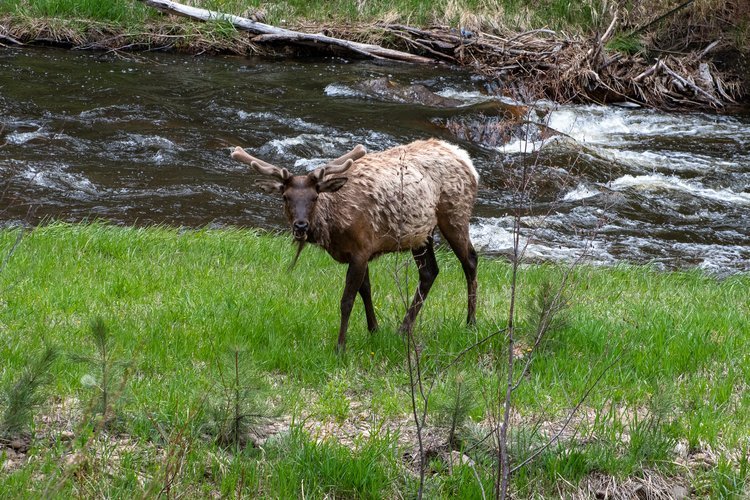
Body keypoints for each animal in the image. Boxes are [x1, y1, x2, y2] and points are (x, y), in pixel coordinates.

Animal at [231, 139, 479, 352]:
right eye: (285, 197)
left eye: (314, 197)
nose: (300, 225)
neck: (334, 226)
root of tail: (467, 160)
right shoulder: (361, 250)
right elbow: (365, 290)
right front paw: (374, 329)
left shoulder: (361, 249)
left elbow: (347, 300)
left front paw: (340, 346)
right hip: (421, 232)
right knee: (429, 271)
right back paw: (403, 328)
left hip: (454, 214)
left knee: (470, 261)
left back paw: (470, 322)